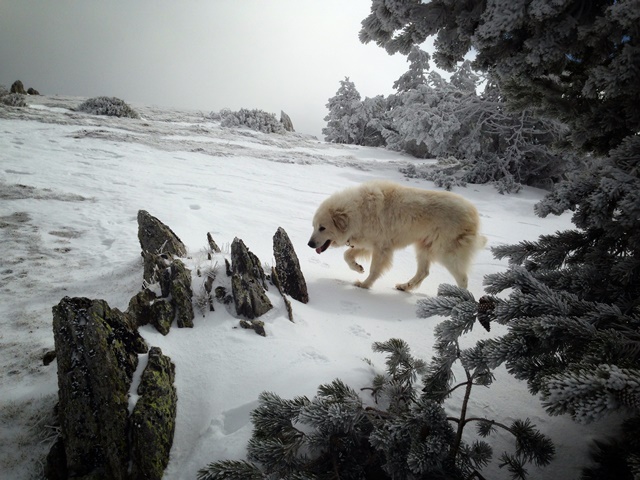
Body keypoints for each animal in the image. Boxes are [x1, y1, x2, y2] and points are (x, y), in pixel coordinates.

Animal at [308, 180, 484, 290]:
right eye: (314, 226)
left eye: (322, 228)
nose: (309, 244)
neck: (358, 211)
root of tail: (473, 213)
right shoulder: (368, 243)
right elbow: (347, 255)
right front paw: (357, 268)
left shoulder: (381, 248)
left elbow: (373, 270)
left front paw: (365, 285)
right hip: (423, 248)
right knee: (423, 272)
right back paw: (405, 287)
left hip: (446, 253)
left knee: (463, 279)